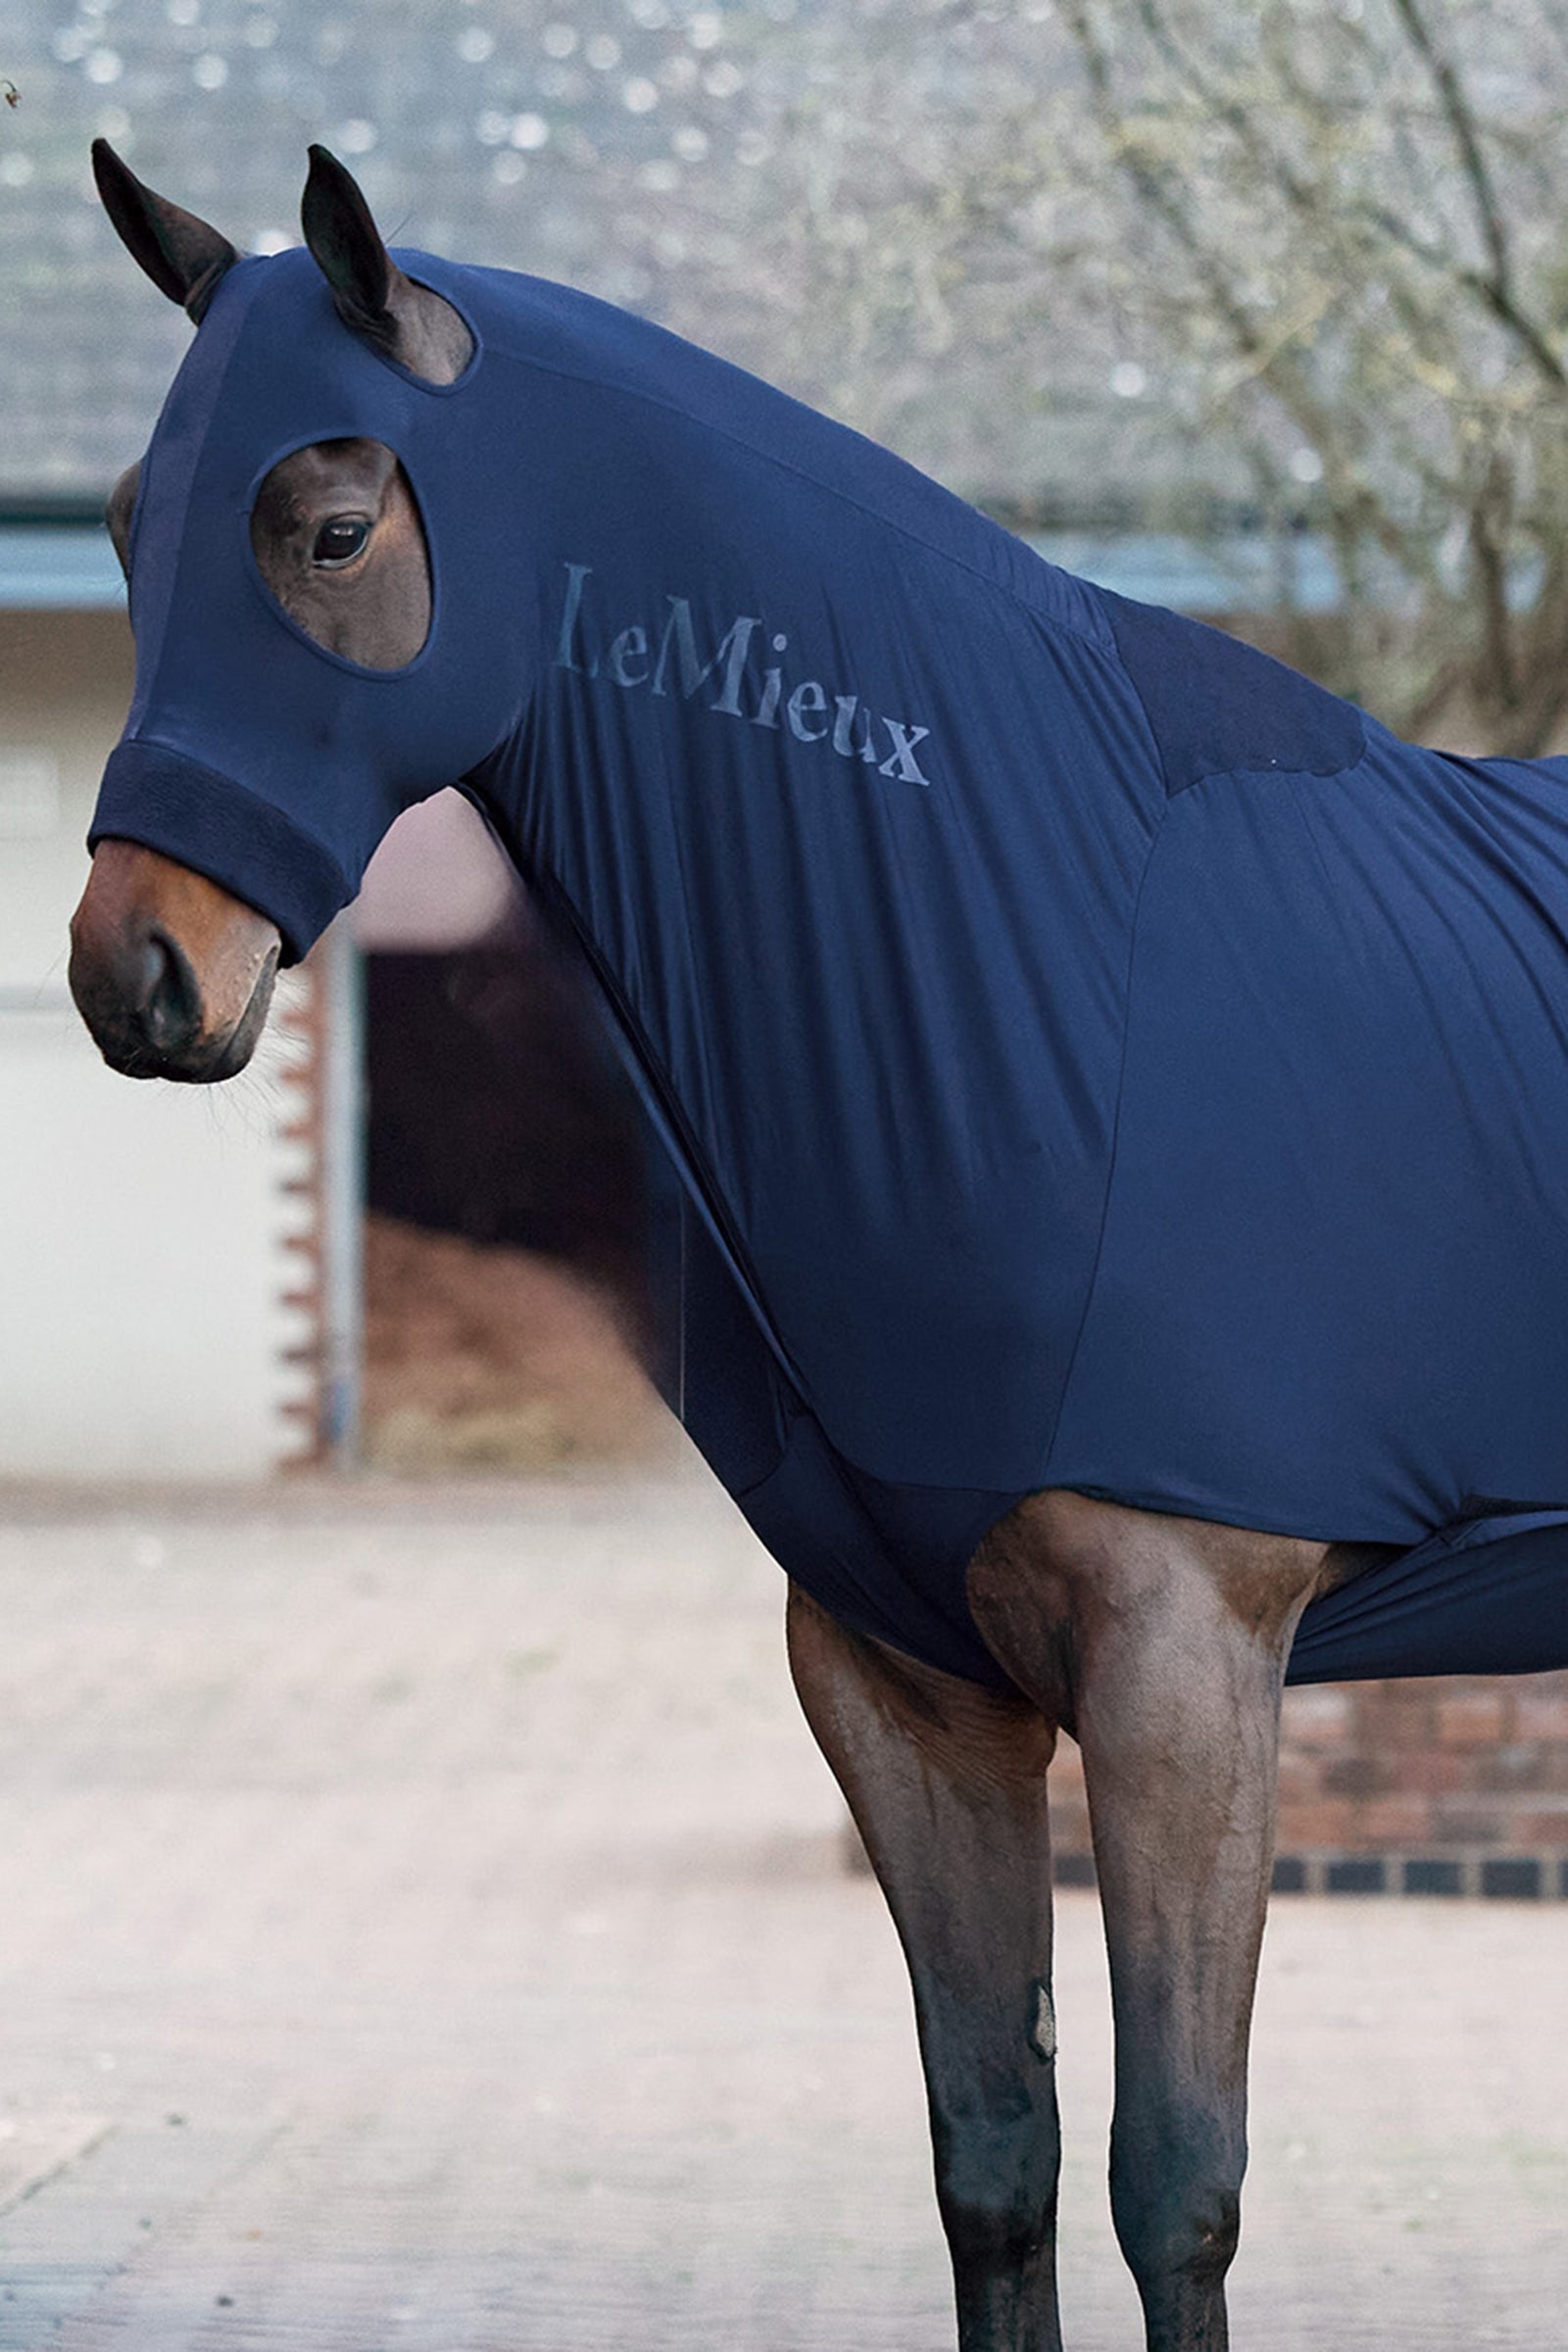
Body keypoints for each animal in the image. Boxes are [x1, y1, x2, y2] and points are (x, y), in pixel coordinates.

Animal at [68, 142, 1568, 2352]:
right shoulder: (902, 1681)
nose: (136, 975)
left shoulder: (1187, 1669)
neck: (1060, 972)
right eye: (120, 524)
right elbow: (995, 2170)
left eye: (330, 526)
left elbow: (1174, 2184)